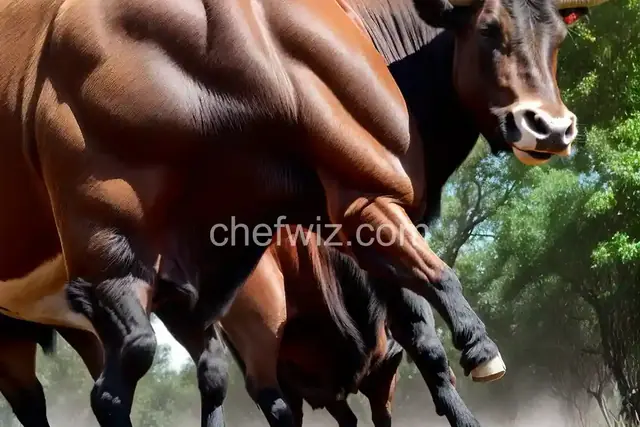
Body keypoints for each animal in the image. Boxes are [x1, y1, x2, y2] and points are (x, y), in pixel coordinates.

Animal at [0, 0, 609, 425]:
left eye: (559, 36)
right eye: (487, 29)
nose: (551, 128)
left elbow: (424, 337)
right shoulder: (114, 251)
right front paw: (481, 348)